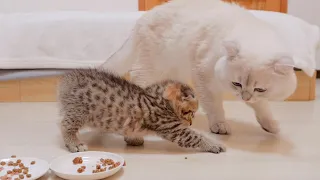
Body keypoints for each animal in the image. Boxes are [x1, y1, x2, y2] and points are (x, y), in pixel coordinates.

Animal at [58, 68, 225, 153]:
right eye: (189, 112)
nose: (190, 123)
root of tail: (68, 79)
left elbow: (129, 131)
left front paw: (133, 138)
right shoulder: (173, 129)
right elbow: (195, 137)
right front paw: (213, 144)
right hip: (79, 112)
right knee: (65, 125)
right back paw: (74, 143)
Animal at [102, 0, 298, 135]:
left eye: (260, 89)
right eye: (236, 84)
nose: (244, 98)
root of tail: (142, 18)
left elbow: (262, 106)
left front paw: (269, 125)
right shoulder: (204, 75)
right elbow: (214, 106)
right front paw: (219, 125)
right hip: (152, 66)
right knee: (138, 79)